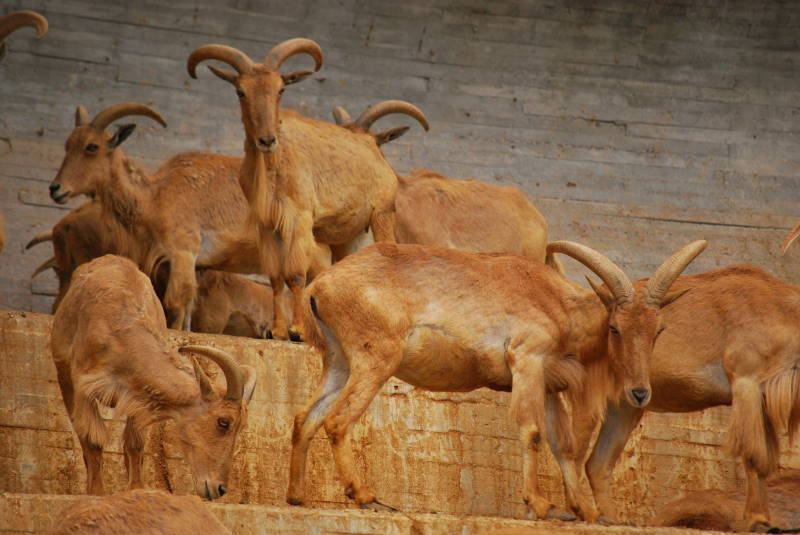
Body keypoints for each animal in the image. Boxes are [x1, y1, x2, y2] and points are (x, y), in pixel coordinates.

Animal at [51, 255, 256, 498]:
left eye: (242, 426)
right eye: (223, 422)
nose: (220, 489)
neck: (123, 338)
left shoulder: (138, 398)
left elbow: (135, 443)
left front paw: (137, 490)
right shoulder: (85, 390)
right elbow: (93, 440)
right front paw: (97, 492)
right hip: (65, 377)